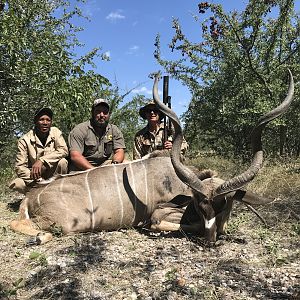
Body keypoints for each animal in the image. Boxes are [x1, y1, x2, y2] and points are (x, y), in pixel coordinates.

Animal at [10, 71, 294, 245]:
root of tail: (31, 197)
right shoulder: (162, 213)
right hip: (65, 224)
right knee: (21, 224)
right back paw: (38, 238)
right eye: (199, 203)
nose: (210, 238)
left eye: (225, 204)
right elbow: (164, 224)